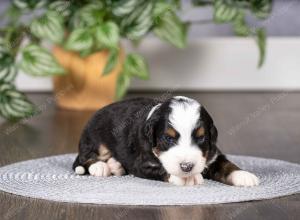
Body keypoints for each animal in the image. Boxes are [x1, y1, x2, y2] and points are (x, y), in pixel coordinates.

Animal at [72, 95, 258, 186]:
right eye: (168, 138)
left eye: (201, 137)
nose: (187, 167)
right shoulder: (142, 164)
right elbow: (163, 169)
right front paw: (186, 178)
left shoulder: (212, 155)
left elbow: (227, 165)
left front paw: (244, 176)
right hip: (95, 138)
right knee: (84, 158)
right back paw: (101, 167)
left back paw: (115, 166)